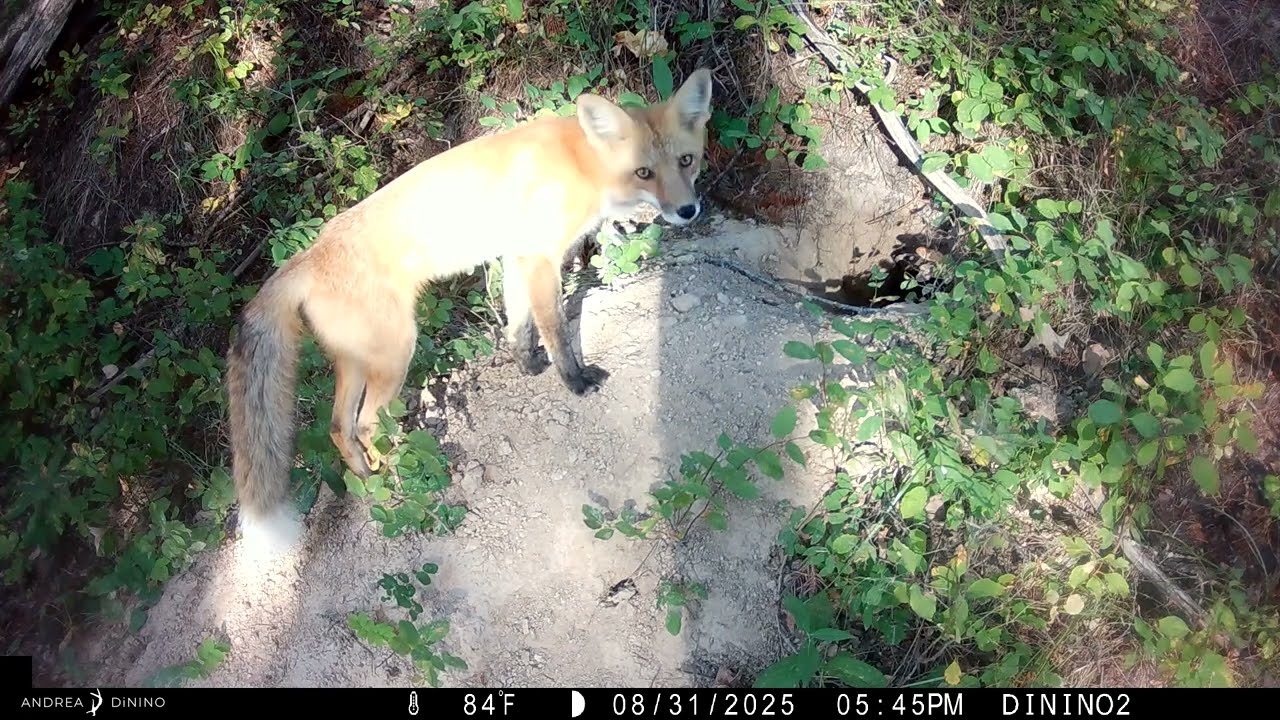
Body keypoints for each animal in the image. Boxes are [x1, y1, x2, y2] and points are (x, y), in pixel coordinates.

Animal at [225, 67, 715, 552]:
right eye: (644, 172)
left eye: (686, 161)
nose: (688, 211)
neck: (581, 165)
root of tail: (307, 254)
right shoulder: (540, 258)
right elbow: (555, 329)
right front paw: (574, 381)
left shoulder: (517, 258)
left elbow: (520, 325)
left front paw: (526, 365)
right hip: (396, 352)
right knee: (366, 425)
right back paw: (405, 475)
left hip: (358, 361)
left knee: (337, 428)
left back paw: (367, 480)